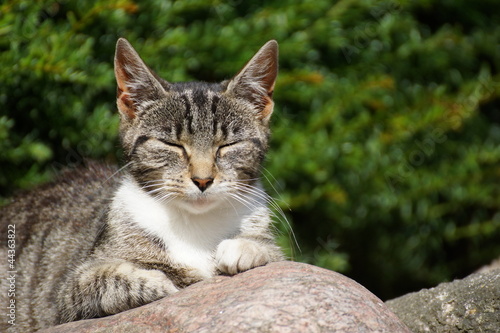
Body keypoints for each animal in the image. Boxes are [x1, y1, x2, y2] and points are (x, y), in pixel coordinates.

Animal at [0, 38, 284, 330]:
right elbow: (106, 280)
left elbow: (274, 254)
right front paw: (160, 282)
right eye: (172, 144)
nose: (203, 179)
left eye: (228, 145)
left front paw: (247, 248)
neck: (194, 225)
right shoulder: (66, 296)